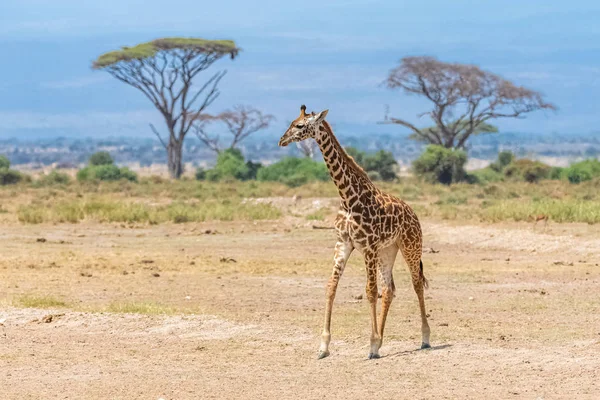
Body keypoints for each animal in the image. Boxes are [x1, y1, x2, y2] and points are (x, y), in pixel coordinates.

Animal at [278, 104, 428, 360]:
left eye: (299, 125)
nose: (282, 140)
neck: (347, 197)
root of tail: (413, 213)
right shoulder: (343, 244)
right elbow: (331, 287)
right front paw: (324, 346)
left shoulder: (367, 247)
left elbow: (370, 291)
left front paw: (371, 344)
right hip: (388, 250)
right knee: (390, 289)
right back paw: (382, 341)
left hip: (410, 246)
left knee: (416, 284)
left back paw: (425, 338)